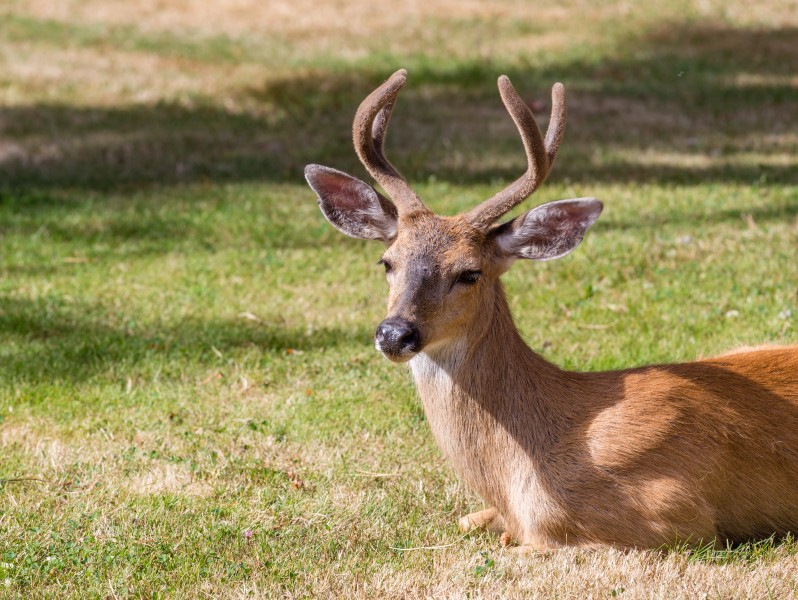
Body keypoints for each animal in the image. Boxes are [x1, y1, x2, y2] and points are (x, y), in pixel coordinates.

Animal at [304, 69, 798, 550]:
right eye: (387, 262)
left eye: (470, 272)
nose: (394, 333)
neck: (520, 469)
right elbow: (468, 521)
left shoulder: (679, 514)